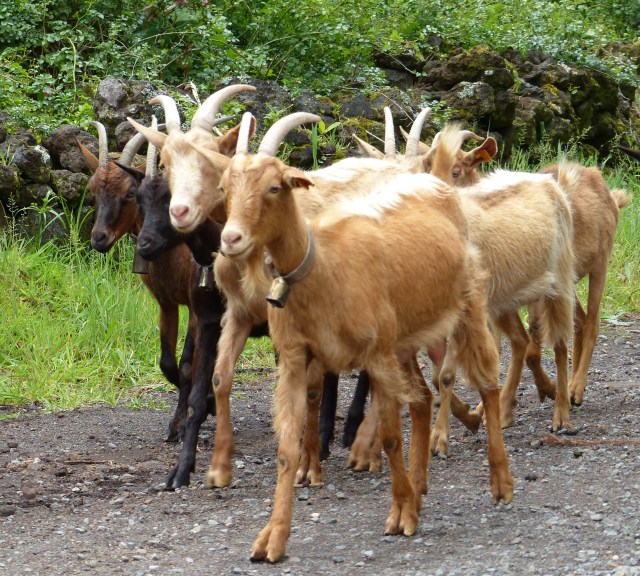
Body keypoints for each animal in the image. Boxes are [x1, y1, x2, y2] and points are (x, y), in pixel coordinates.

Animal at [197, 112, 514, 562]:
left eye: (275, 187)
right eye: (225, 188)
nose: (231, 239)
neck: (322, 266)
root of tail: (435, 183)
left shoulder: (376, 353)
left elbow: (390, 437)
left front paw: (401, 514)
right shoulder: (294, 358)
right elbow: (286, 449)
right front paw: (272, 536)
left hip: (466, 306)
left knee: (486, 381)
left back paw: (500, 482)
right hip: (403, 340)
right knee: (422, 398)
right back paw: (419, 487)